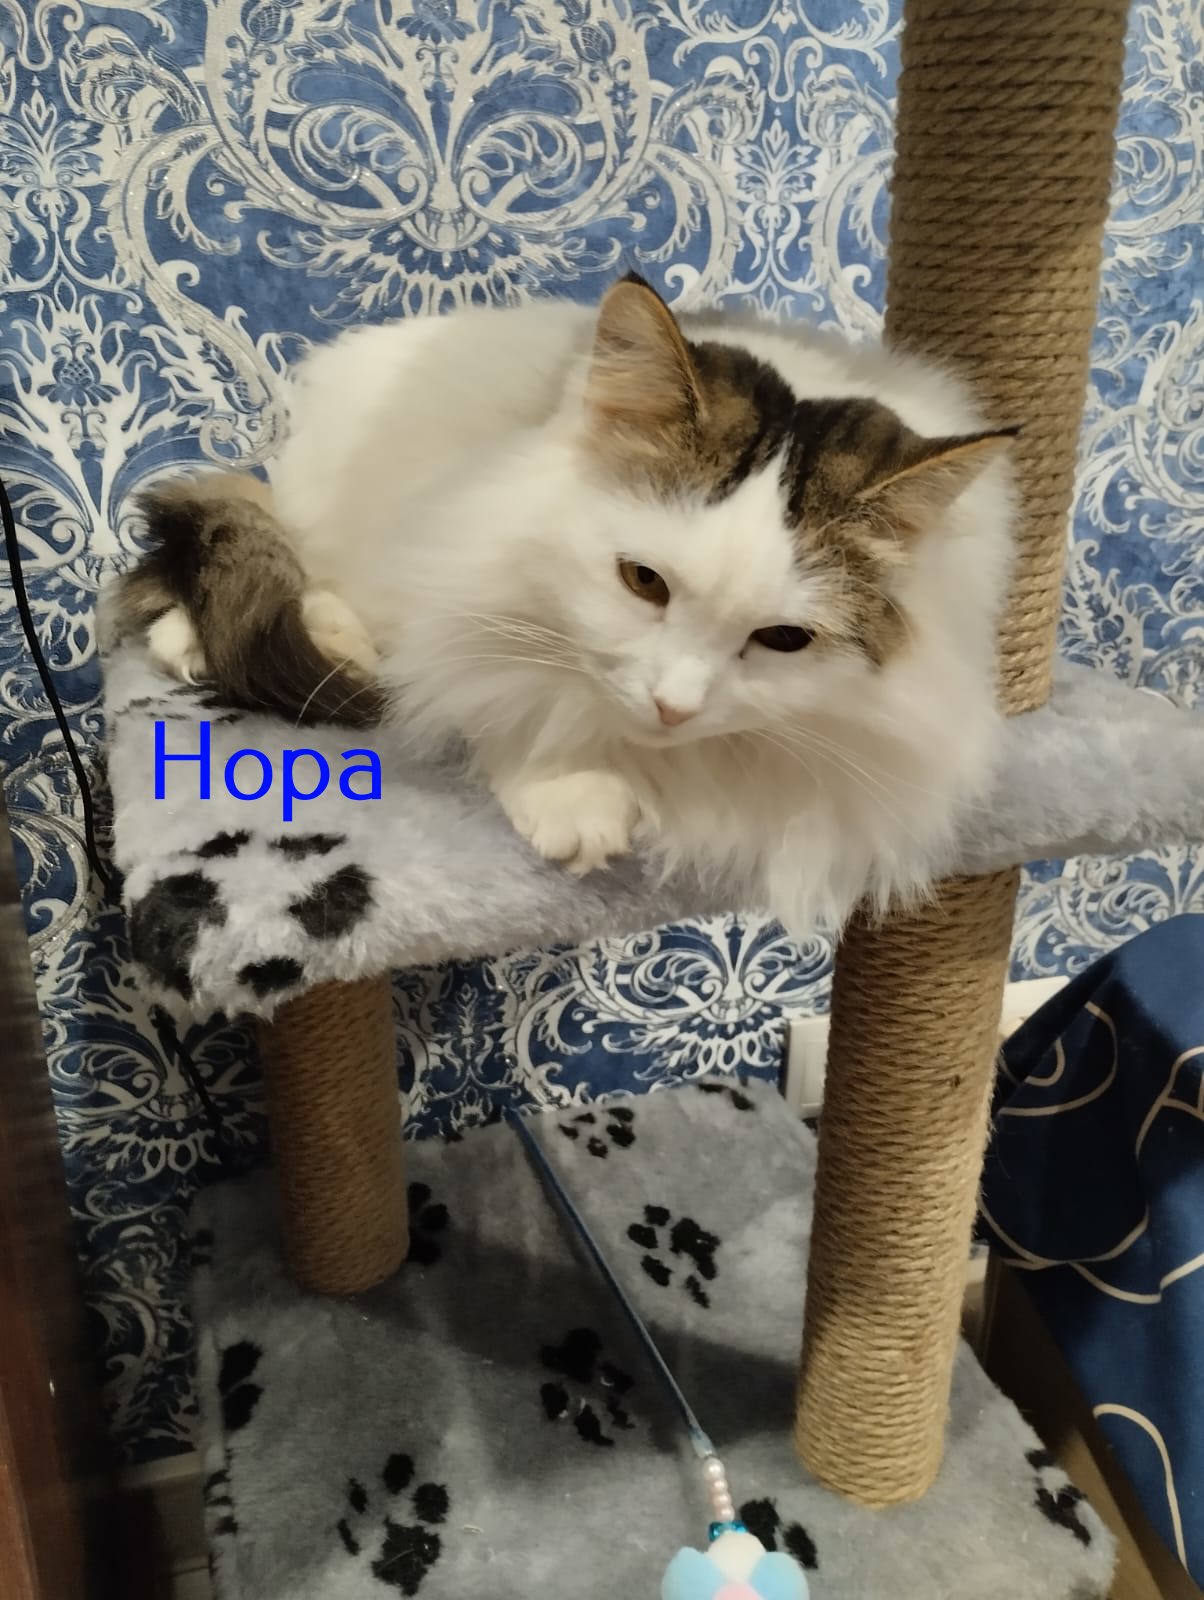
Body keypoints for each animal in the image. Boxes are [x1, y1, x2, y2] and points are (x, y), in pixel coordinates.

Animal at [116, 274, 1018, 936]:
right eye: (644, 582)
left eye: (784, 639)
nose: (673, 709)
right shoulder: (459, 579)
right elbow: (511, 690)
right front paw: (569, 793)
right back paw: (225, 640)